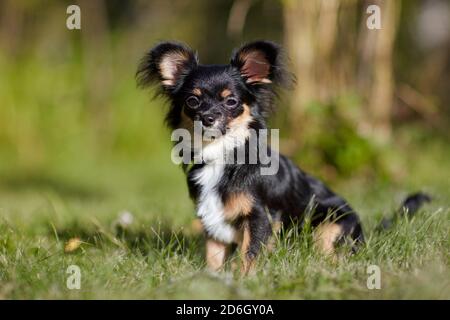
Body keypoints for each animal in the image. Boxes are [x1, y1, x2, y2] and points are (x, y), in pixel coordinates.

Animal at [135, 40, 430, 276]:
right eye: (192, 102)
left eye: (231, 102)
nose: (208, 118)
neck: (222, 153)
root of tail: (363, 230)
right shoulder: (212, 219)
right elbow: (214, 257)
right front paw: (212, 279)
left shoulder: (260, 217)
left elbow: (249, 252)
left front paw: (244, 279)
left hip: (328, 225)